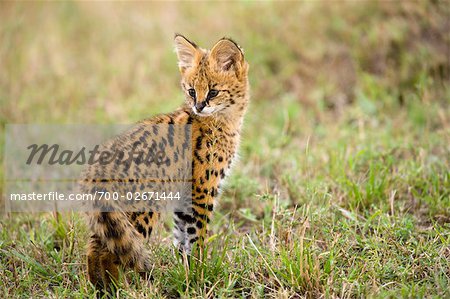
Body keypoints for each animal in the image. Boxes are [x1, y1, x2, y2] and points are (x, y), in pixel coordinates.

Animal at [81, 34, 250, 290]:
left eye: (212, 92)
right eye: (191, 91)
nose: (198, 106)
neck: (224, 120)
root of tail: (97, 168)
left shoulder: (185, 197)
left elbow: (182, 239)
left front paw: (185, 273)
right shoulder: (202, 191)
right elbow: (197, 238)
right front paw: (200, 274)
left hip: (109, 217)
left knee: (95, 247)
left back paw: (100, 288)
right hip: (142, 209)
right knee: (111, 252)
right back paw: (120, 289)